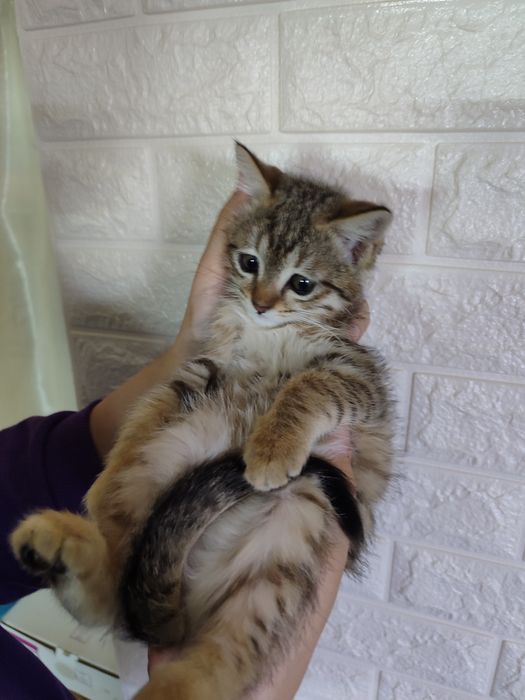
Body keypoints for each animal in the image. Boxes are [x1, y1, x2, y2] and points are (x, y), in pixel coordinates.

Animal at [11, 143, 394, 700]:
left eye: (301, 284)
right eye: (248, 262)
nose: (260, 304)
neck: (268, 337)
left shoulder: (358, 375)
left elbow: (308, 387)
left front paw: (272, 448)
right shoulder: (203, 368)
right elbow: (147, 412)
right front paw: (101, 482)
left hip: (287, 545)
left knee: (225, 658)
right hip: (160, 472)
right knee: (116, 596)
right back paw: (64, 546)